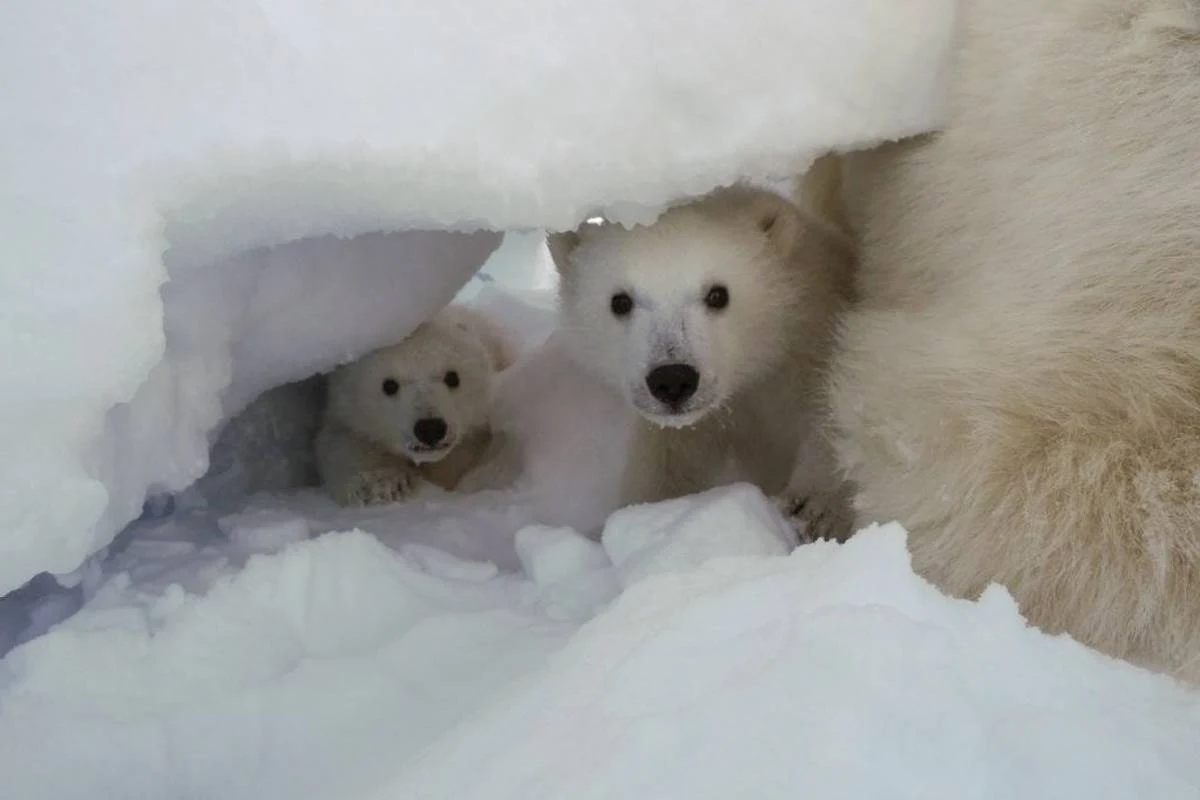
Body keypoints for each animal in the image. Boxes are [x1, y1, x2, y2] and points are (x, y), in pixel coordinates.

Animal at [315, 305, 517, 507]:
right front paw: (383, 483)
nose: (430, 428)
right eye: (389, 385)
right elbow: (344, 445)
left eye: (452, 377)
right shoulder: (344, 416)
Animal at [548, 184, 857, 544]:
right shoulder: (695, 426)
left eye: (718, 294)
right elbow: (666, 466)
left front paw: (813, 509)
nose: (672, 379)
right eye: (620, 301)